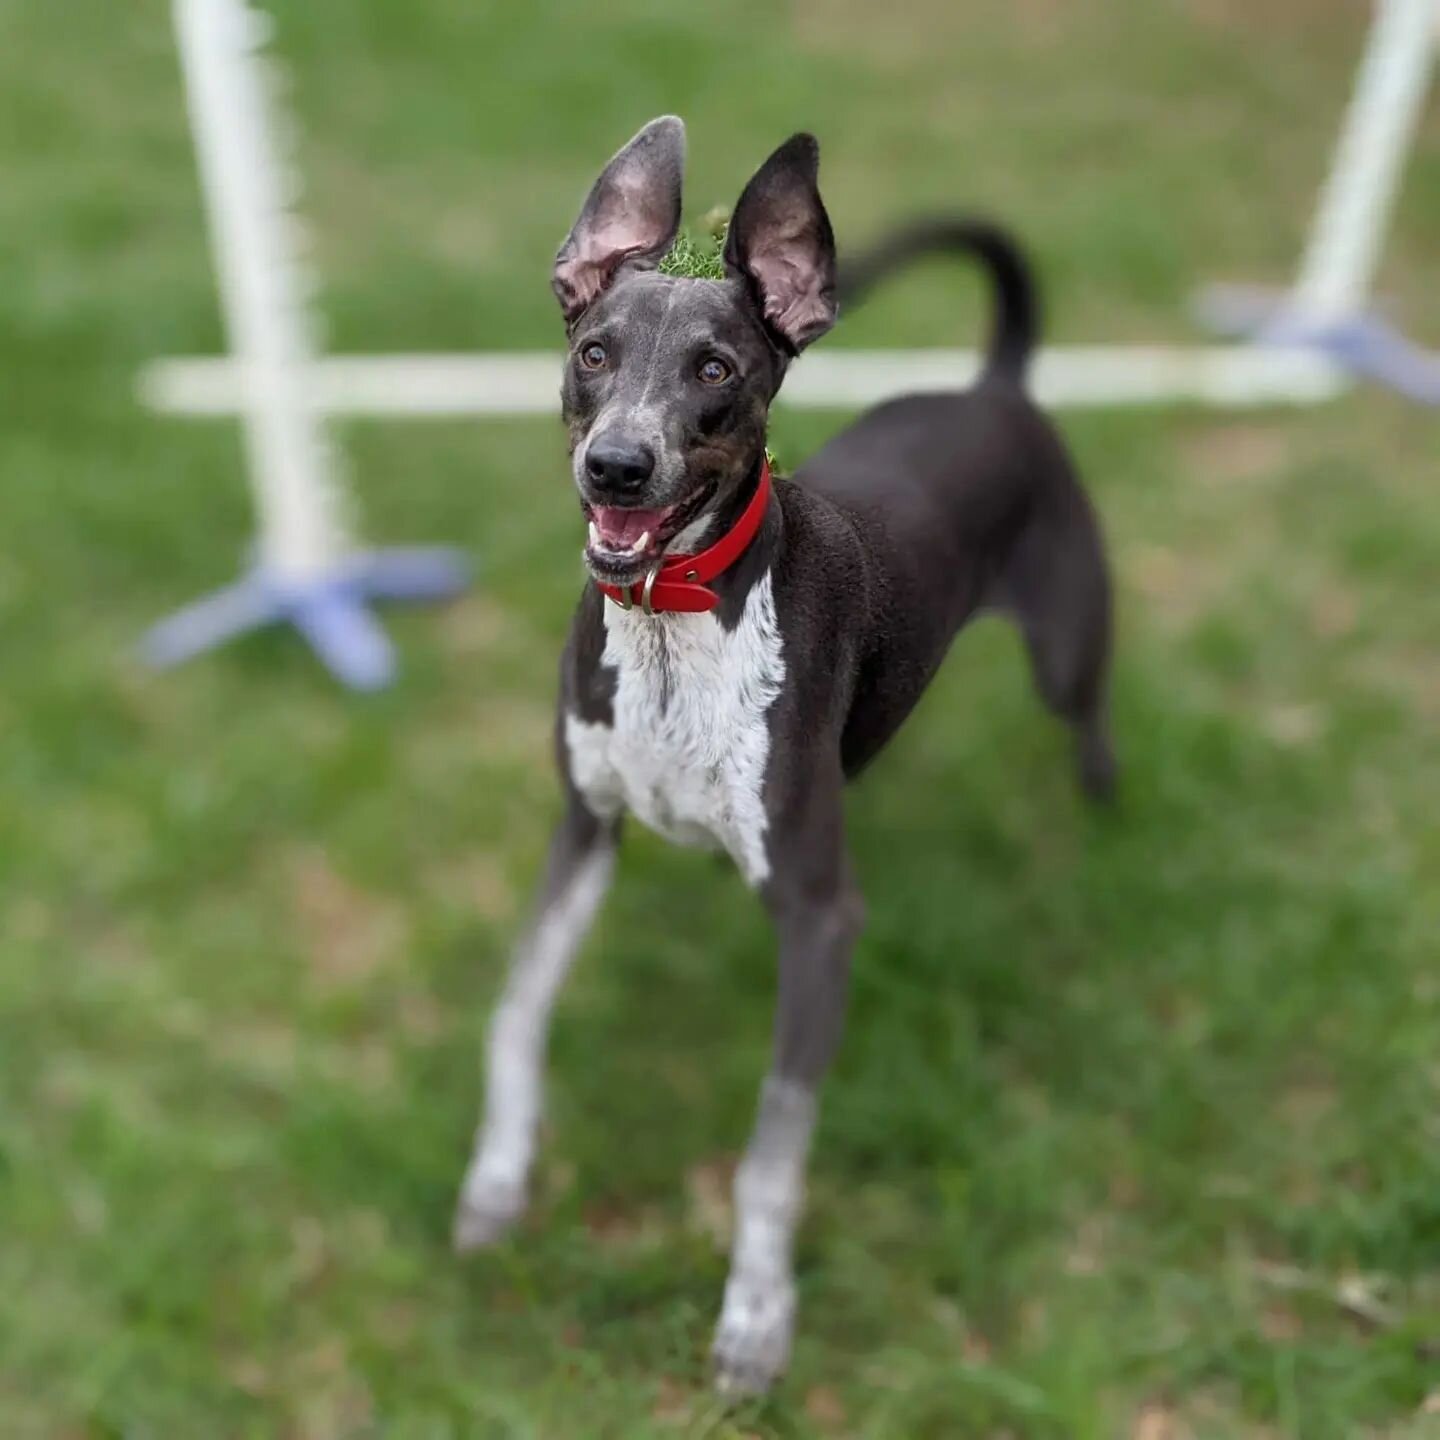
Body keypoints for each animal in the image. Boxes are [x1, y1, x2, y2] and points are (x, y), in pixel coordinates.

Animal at [452, 115, 1111, 1393]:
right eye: (594, 353)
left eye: (717, 372)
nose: (617, 467)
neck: (672, 623)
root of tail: (995, 387)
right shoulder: (585, 828)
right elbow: (515, 1013)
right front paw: (496, 1184)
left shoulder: (817, 917)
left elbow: (769, 1149)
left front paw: (756, 1320)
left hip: (1067, 648)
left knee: (1089, 723)